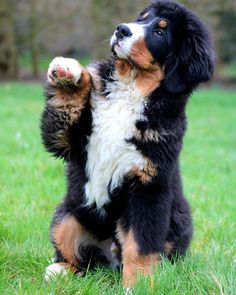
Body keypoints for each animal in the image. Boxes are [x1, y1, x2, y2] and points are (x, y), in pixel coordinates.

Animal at [41, 0, 215, 290]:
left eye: (160, 32)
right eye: (142, 18)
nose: (121, 29)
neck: (131, 89)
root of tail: (110, 258)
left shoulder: (148, 186)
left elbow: (140, 244)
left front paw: (138, 285)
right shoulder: (71, 141)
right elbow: (64, 112)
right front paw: (69, 71)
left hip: (178, 223)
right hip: (67, 215)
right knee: (80, 257)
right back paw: (60, 270)